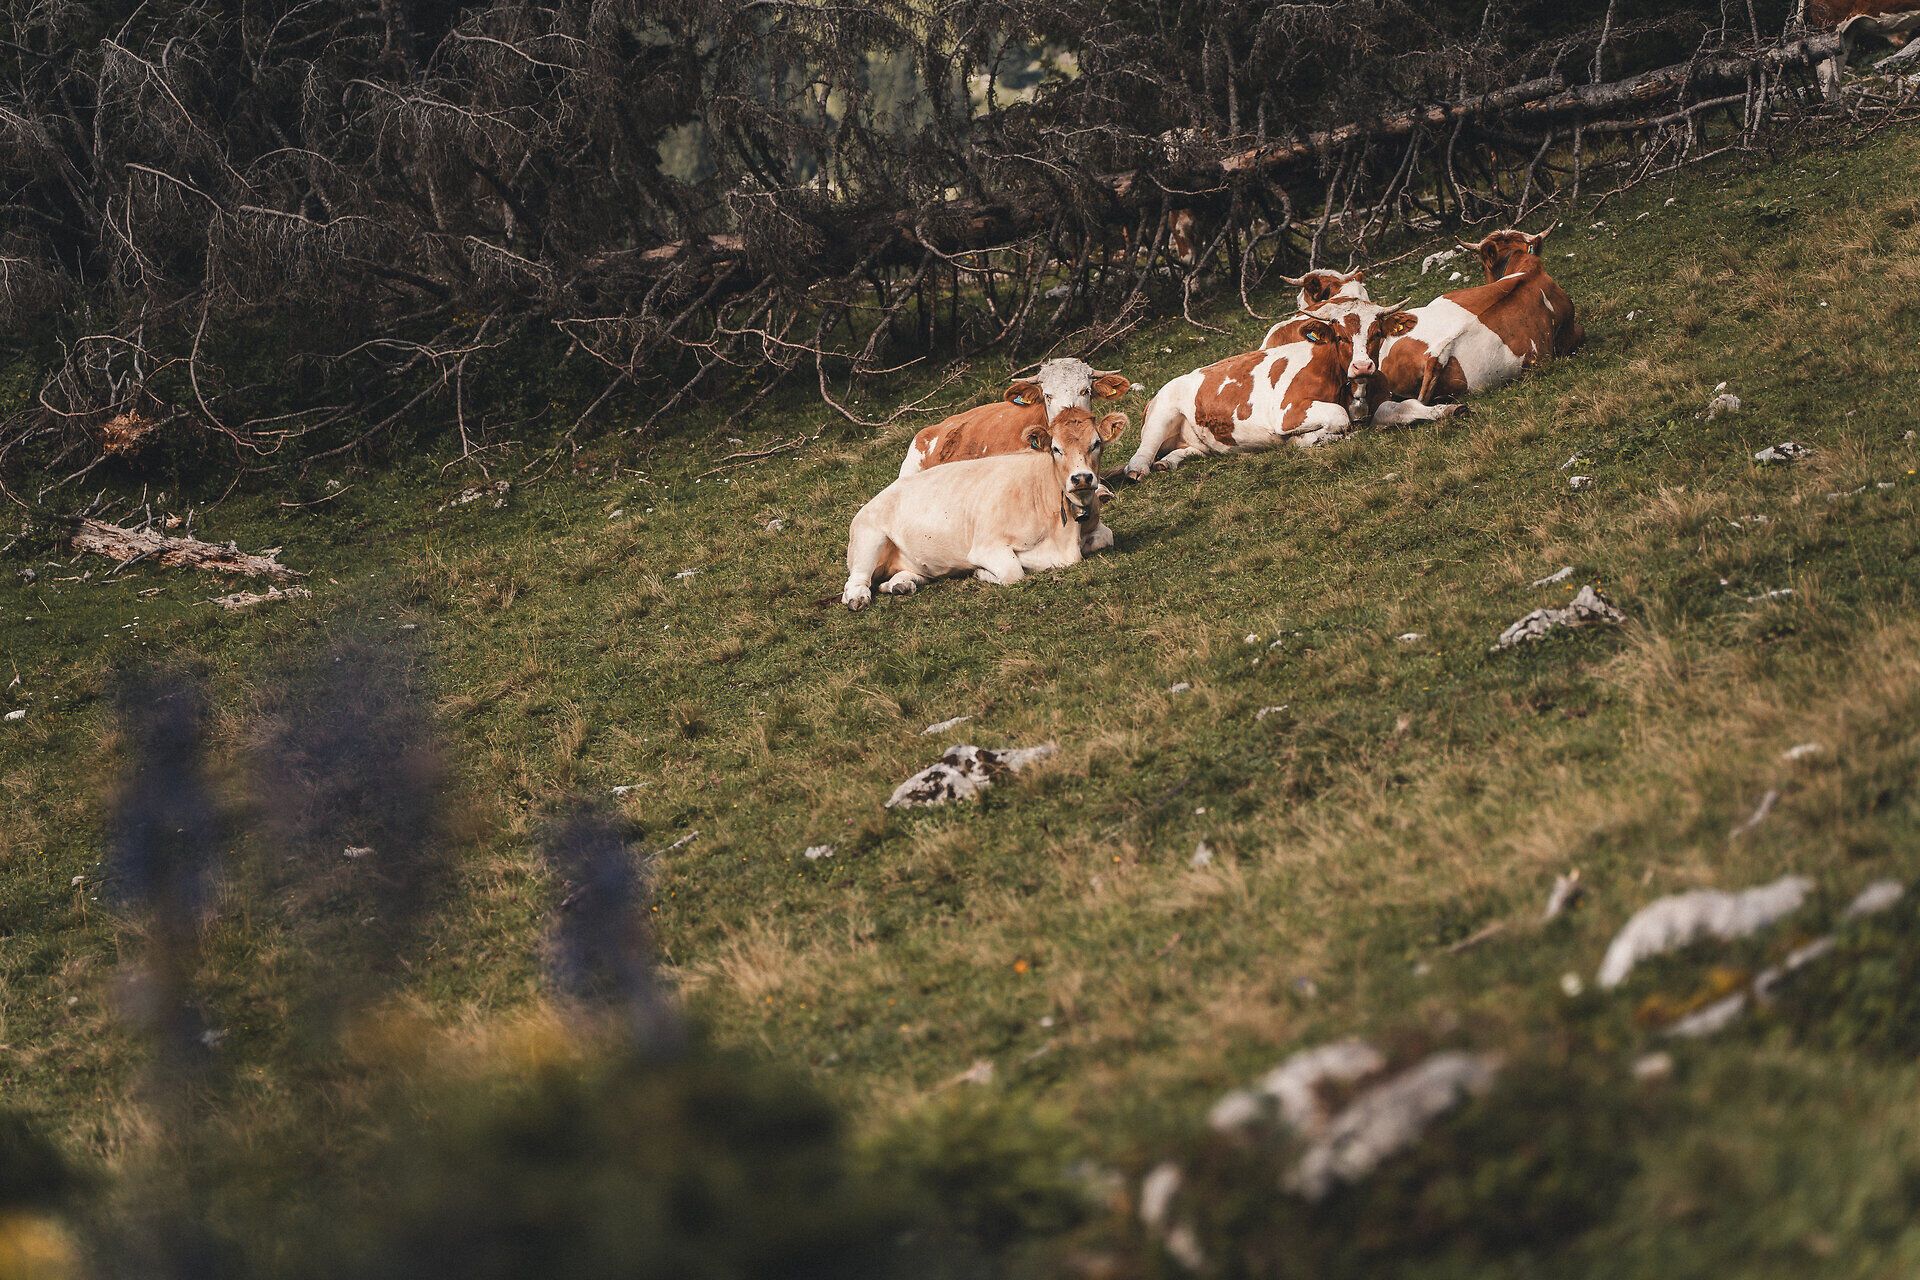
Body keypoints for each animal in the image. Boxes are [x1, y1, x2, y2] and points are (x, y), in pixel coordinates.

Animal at [843, 407, 1127, 610]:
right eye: (1056, 449)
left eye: (1096, 444)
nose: (1082, 478)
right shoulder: (986, 546)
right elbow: (1013, 572)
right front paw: (983, 573)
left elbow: (1107, 536)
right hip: (870, 538)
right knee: (857, 580)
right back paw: (858, 598)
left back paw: (901, 585)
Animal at [1122, 315, 1361, 478]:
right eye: (1341, 337)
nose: (1363, 365)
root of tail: (1154, 397)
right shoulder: (1285, 413)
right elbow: (1339, 417)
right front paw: (1304, 439)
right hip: (1162, 414)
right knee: (1144, 450)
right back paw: (1137, 470)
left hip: (1194, 439)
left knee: (1190, 450)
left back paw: (1166, 463)